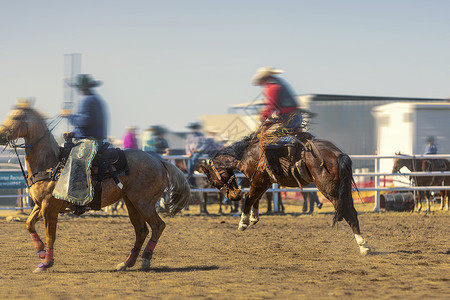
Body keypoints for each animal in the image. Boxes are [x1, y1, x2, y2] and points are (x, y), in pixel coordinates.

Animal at [0, 102, 190, 274]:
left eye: (16, 117)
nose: (1, 135)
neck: (50, 163)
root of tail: (159, 161)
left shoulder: (50, 207)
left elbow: (50, 235)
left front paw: (46, 263)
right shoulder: (41, 206)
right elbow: (29, 224)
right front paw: (40, 251)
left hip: (144, 203)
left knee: (158, 226)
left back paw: (145, 259)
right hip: (131, 203)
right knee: (141, 231)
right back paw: (127, 262)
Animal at [202, 133, 370, 255]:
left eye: (212, 181)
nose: (233, 196)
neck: (249, 153)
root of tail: (338, 155)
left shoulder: (259, 178)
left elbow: (250, 197)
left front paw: (243, 222)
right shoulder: (265, 180)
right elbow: (257, 197)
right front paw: (254, 217)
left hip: (331, 191)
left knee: (348, 213)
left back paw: (362, 245)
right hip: (344, 190)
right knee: (352, 212)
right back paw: (363, 245)